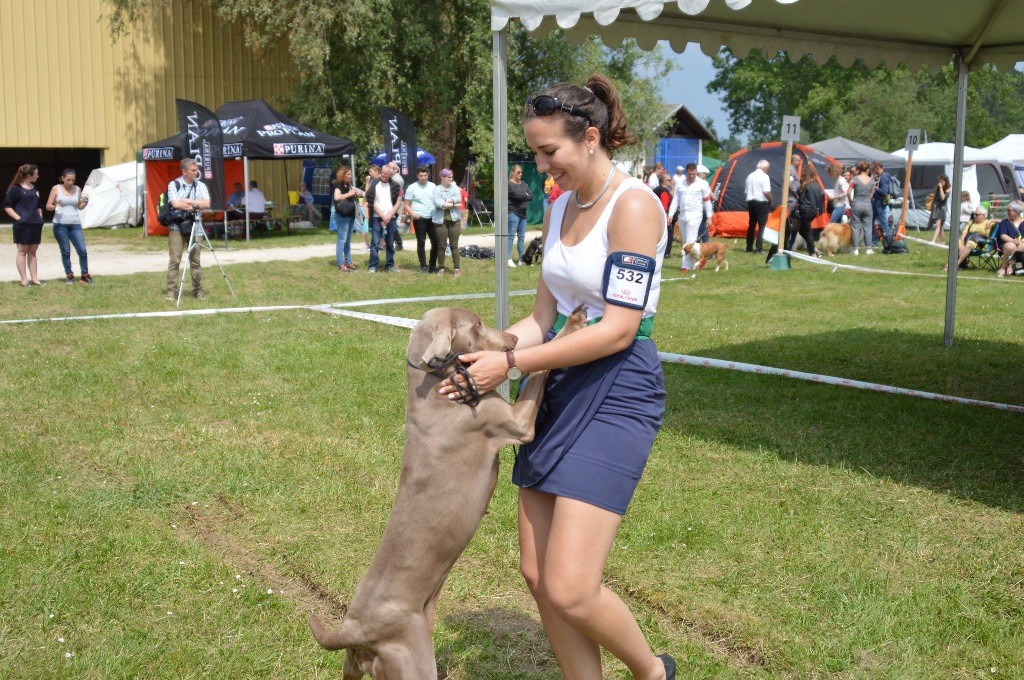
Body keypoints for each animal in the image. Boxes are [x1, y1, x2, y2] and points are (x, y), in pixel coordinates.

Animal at [307, 305, 585, 675]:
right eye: (478, 323)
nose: (513, 337)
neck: (439, 385)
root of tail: (353, 632)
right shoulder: (516, 422)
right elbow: (540, 367)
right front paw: (573, 324)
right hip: (413, 658)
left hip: (353, 667)